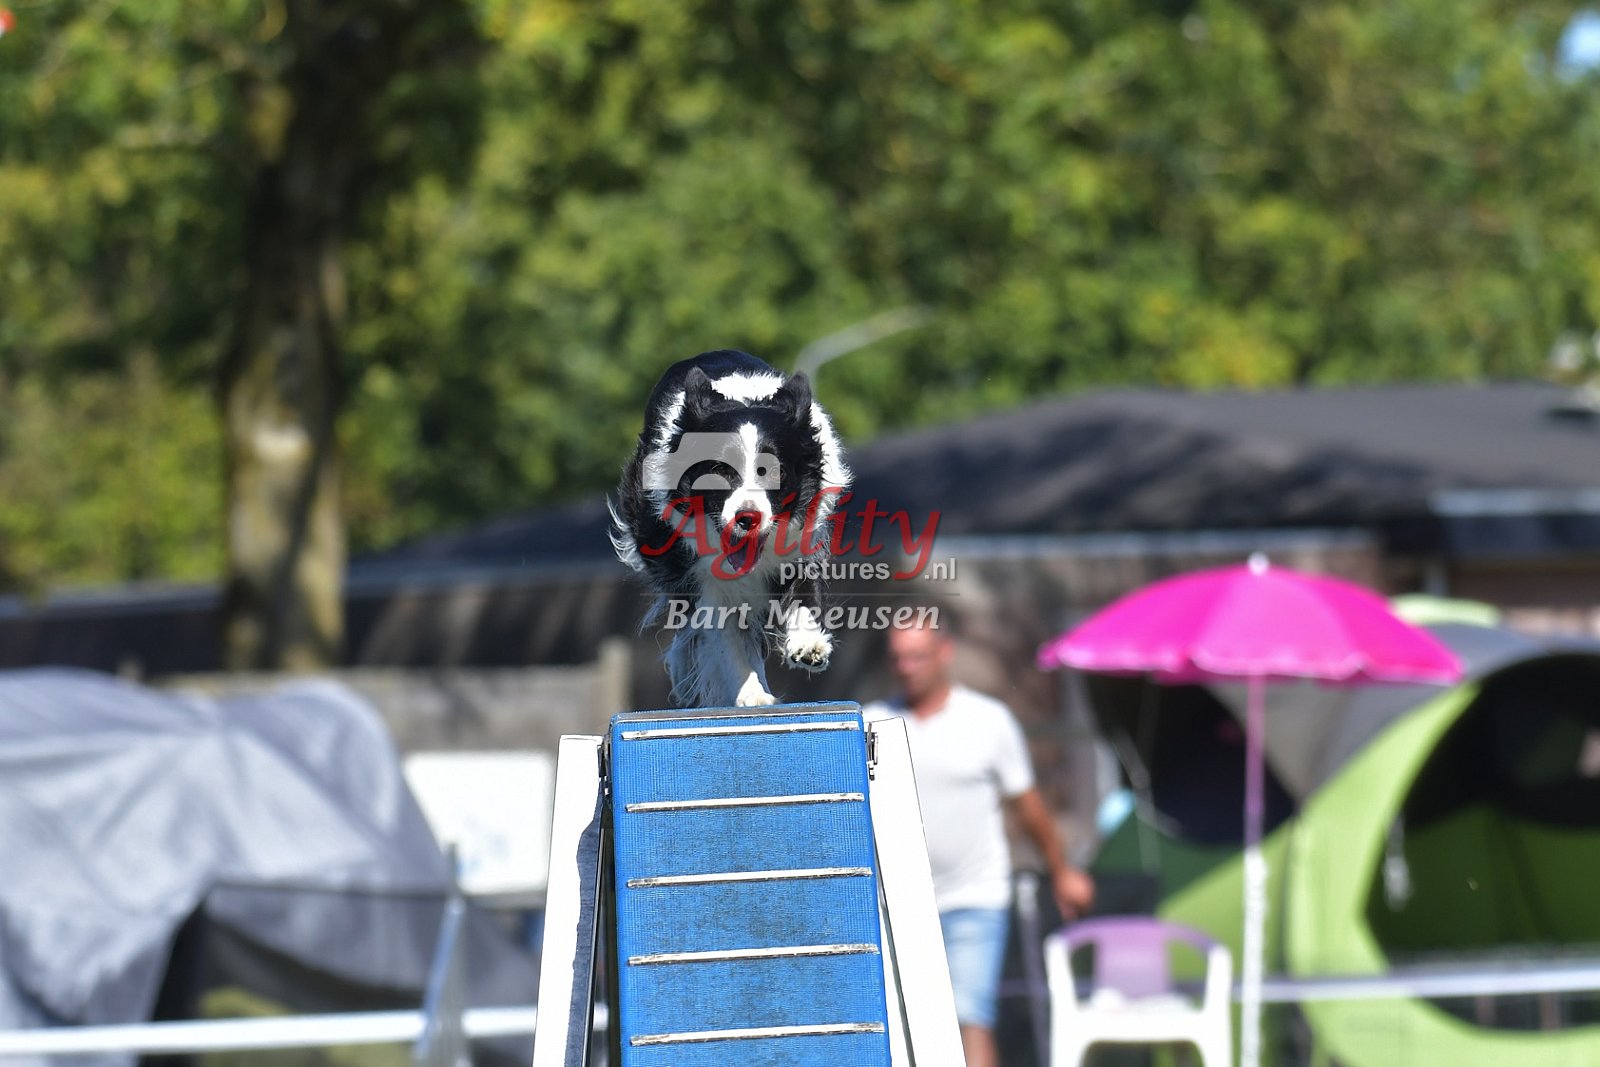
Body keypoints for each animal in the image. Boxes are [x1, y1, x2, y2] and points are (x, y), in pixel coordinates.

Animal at [610, 350, 852, 708]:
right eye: (718, 471)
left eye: (776, 471)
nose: (747, 518)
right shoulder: (700, 572)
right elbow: (722, 635)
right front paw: (751, 693)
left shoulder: (805, 539)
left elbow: (804, 592)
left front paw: (809, 644)